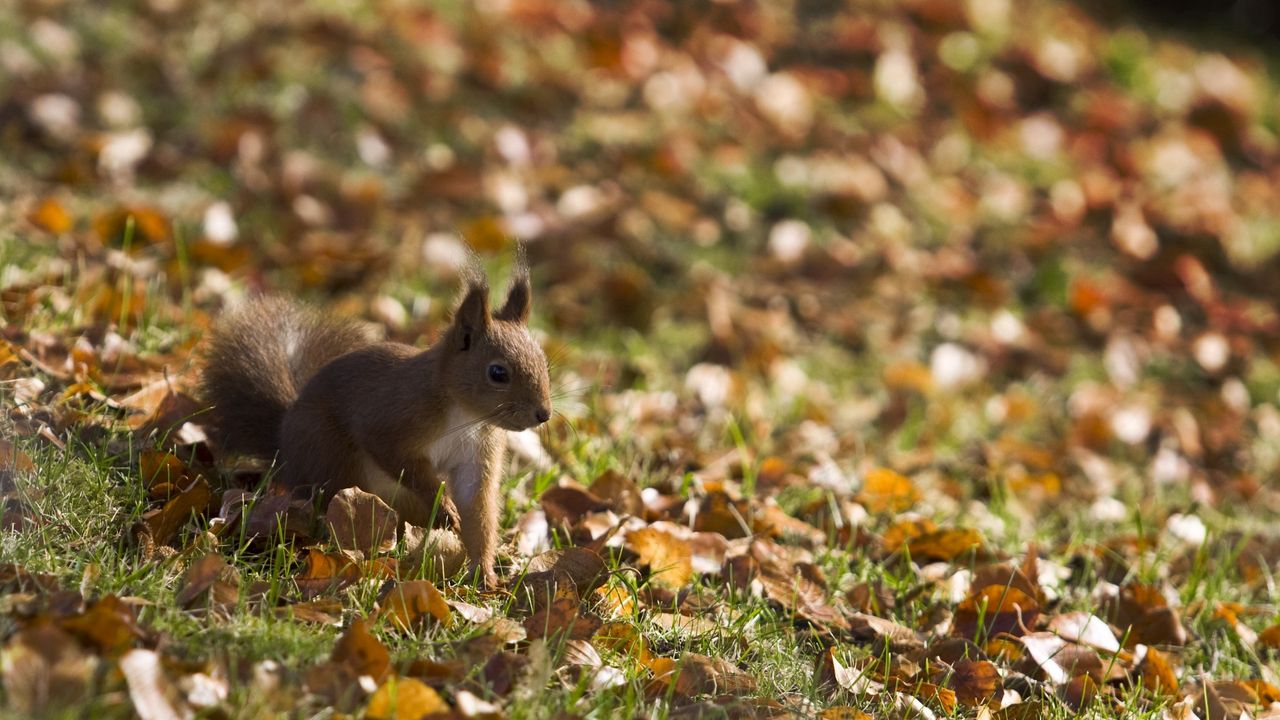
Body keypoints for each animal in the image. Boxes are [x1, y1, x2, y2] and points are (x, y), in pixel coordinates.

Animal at [199, 260, 550, 586]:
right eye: (497, 373)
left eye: (543, 362)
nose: (543, 414)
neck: (466, 415)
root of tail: (285, 448)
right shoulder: (392, 418)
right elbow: (395, 456)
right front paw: (445, 508)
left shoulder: (479, 452)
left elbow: (476, 504)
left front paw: (485, 573)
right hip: (332, 457)